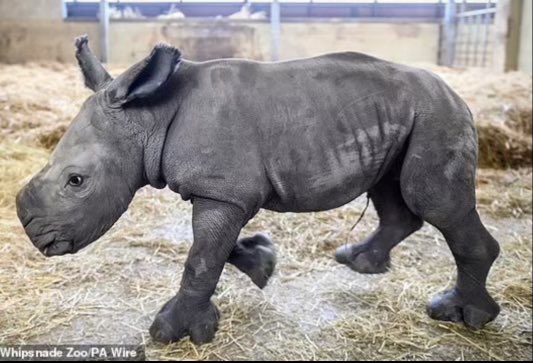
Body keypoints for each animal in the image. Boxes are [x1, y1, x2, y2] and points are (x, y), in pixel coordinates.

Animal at [15, 35, 498, 346]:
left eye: (77, 181)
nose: (37, 238)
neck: (150, 115)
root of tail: (457, 94)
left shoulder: (223, 192)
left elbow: (200, 259)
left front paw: (172, 334)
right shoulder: (222, 192)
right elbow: (211, 250)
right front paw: (263, 264)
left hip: (436, 116)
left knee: (434, 203)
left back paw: (460, 315)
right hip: (407, 117)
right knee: (391, 192)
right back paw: (358, 262)